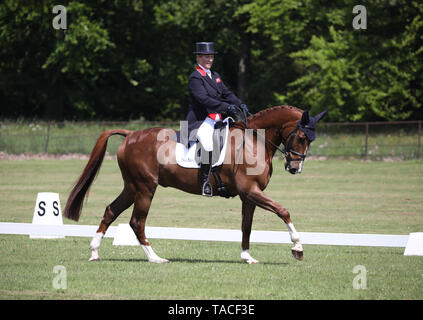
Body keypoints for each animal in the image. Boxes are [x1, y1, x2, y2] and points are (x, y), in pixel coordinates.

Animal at [63, 105, 328, 262]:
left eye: (310, 140)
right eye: (301, 137)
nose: (295, 168)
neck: (256, 141)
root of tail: (131, 135)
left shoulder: (249, 195)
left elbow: (246, 226)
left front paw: (246, 256)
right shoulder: (250, 191)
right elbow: (283, 211)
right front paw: (297, 248)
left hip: (132, 187)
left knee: (111, 211)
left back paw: (94, 252)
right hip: (145, 188)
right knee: (137, 222)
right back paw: (155, 258)